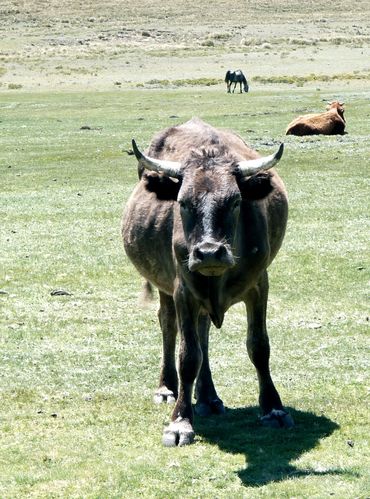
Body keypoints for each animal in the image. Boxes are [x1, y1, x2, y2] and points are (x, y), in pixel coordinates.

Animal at [123, 118, 294, 450]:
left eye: (235, 201)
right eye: (183, 202)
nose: (209, 252)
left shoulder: (259, 287)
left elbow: (259, 346)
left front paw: (273, 409)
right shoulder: (183, 292)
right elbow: (188, 356)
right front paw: (180, 423)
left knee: (204, 333)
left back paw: (208, 397)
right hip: (166, 290)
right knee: (168, 325)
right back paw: (167, 388)